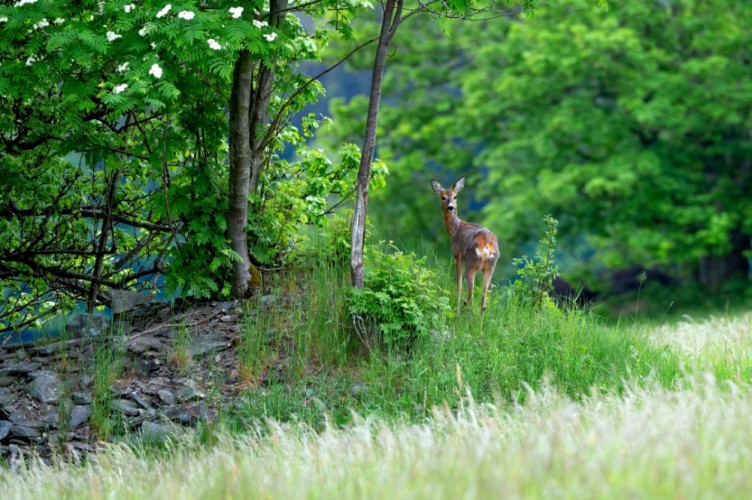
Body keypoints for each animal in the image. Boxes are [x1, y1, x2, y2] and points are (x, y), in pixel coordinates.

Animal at [428, 178, 500, 312]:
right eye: (443, 197)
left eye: (455, 196)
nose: (451, 207)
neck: (454, 230)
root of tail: (487, 246)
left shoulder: (457, 255)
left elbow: (459, 286)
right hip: (490, 266)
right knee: (483, 301)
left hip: (471, 263)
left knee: (470, 294)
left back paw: (460, 313)